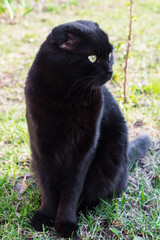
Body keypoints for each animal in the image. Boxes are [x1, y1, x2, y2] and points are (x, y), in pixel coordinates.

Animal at [24, 20, 151, 238]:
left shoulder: (83, 151)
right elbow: (48, 188)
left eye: (109, 54)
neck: (66, 98)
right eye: (92, 58)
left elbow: (72, 190)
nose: (110, 71)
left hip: (109, 164)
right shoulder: (41, 147)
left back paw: (83, 211)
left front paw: (66, 224)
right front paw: (44, 217)